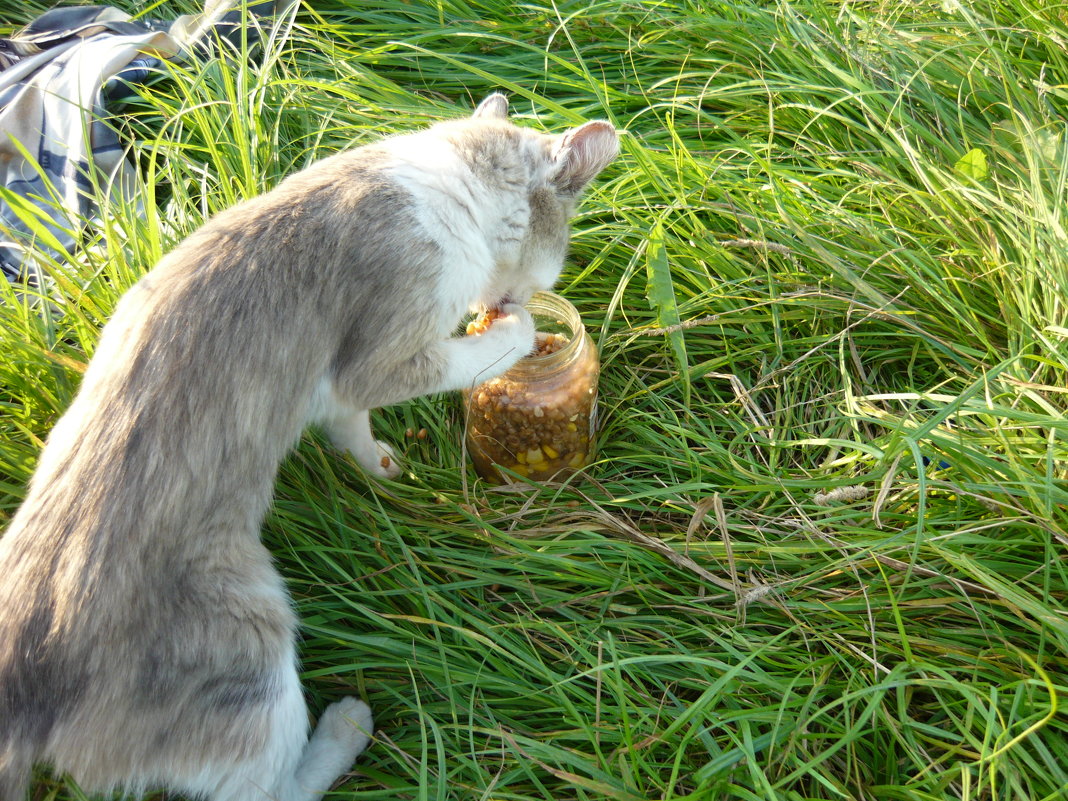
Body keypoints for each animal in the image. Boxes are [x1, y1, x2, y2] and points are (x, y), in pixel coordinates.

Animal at [0, 95, 619, 801]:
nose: (518, 301)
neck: (444, 180)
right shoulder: (382, 351)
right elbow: (453, 360)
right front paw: (514, 334)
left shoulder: (333, 388)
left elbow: (351, 427)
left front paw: (383, 469)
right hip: (250, 640)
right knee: (271, 788)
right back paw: (346, 727)